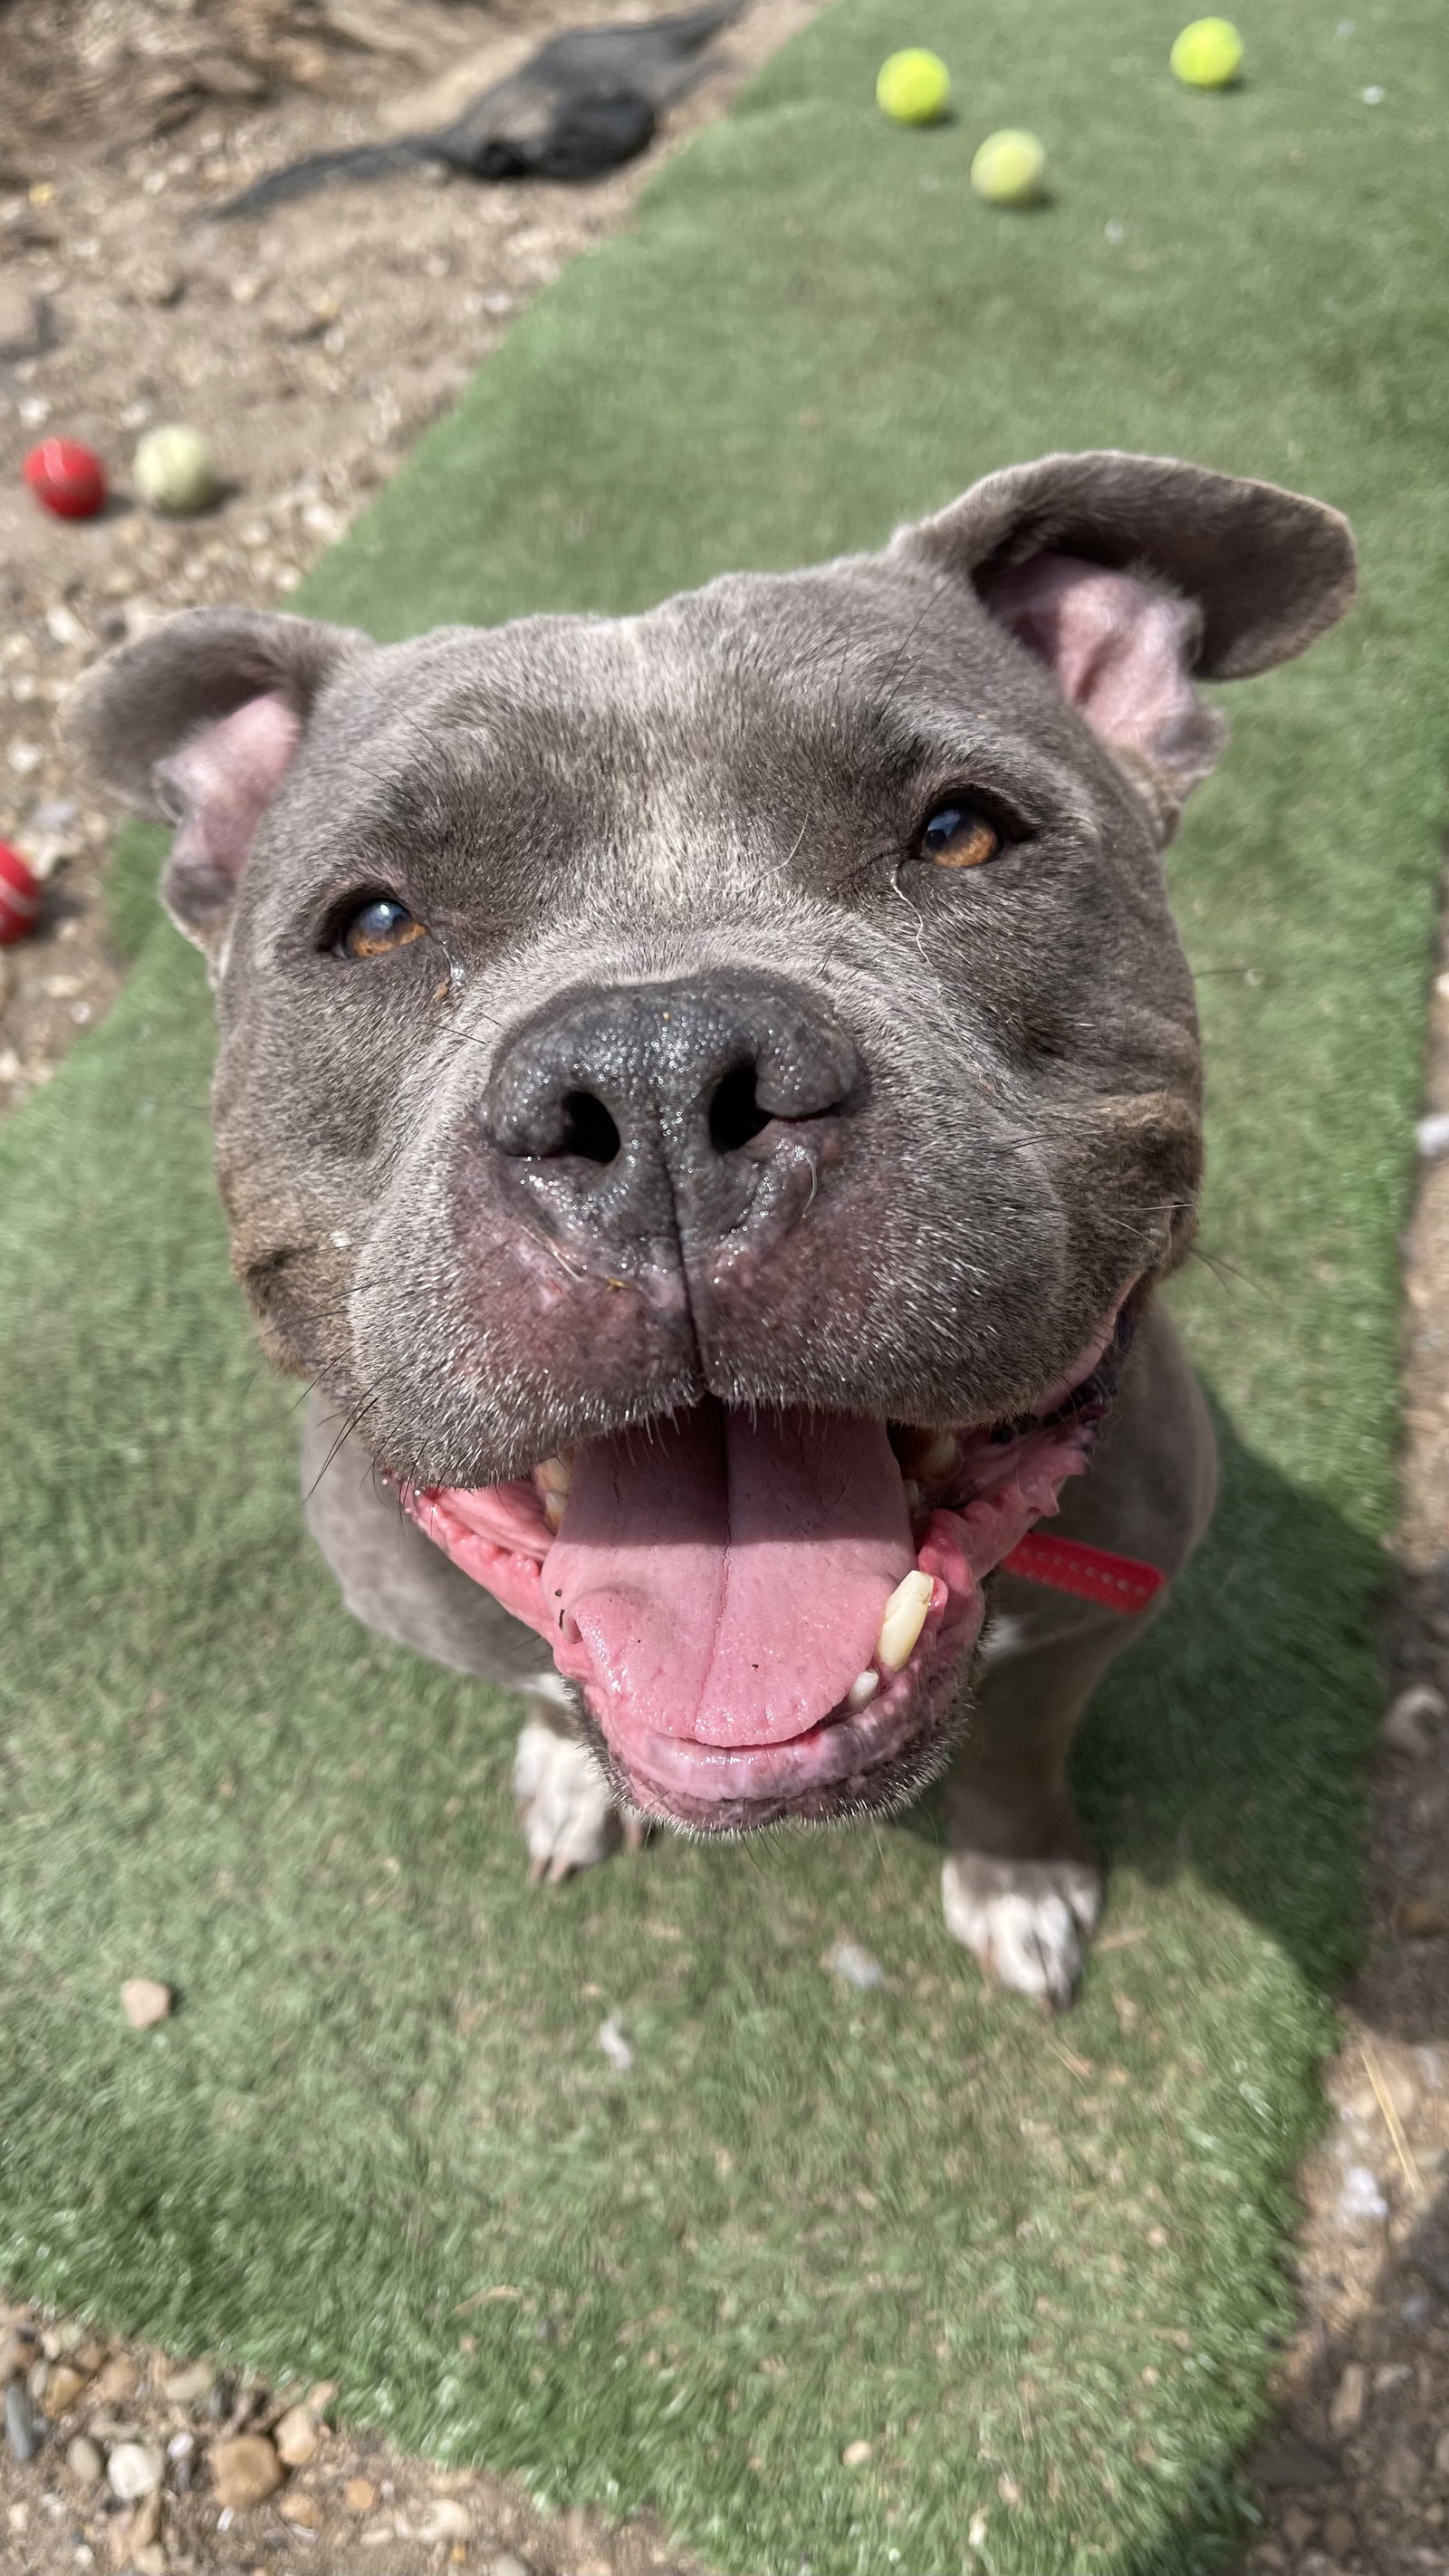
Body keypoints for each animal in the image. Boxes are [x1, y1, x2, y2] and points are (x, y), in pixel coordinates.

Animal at [73, 447, 1358, 2009]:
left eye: (962, 835)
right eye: (374, 923)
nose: (659, 1077)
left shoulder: (1096, 1611)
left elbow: (1016, 1748)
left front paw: (1017, 1873)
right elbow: (549, 1691)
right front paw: (571, 1776)